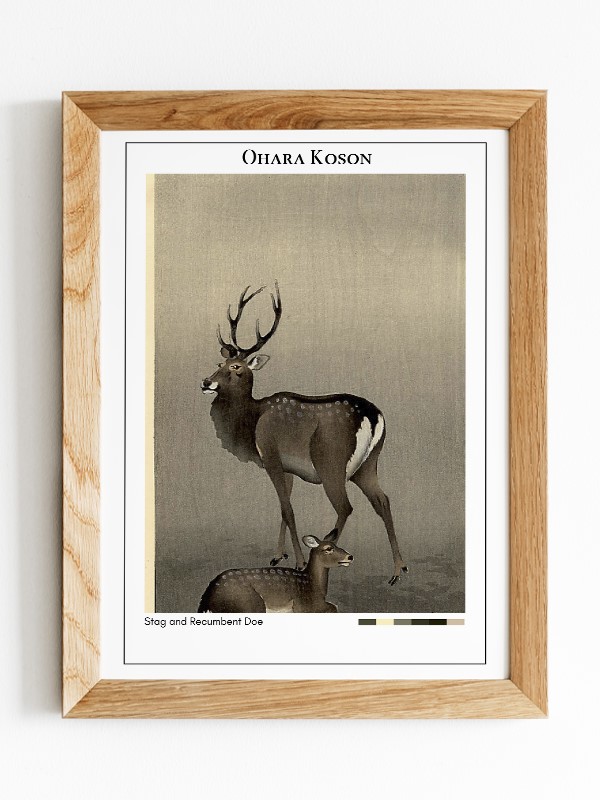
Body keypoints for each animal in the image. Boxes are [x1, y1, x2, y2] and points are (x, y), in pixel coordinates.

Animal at [198, 531, 352, 613]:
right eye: (328, 548)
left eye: (337, 545)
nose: (350, 557)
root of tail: (207, 599)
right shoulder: (304, 606)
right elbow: (334, 606)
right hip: (250, 602)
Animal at [201, 283, 409, 585]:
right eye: (219, 363)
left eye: (236, 367)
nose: (206, 382)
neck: (251, 423)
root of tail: (374, 415)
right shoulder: (287, 467)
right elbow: (282, 507)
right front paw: (278, 555)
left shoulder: (270, 454)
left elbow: (288, 509)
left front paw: (298, 562)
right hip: (368, 464)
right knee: (383, 500)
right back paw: (398, 569)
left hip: (330, 462)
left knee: (345, 507)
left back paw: (328, 549)